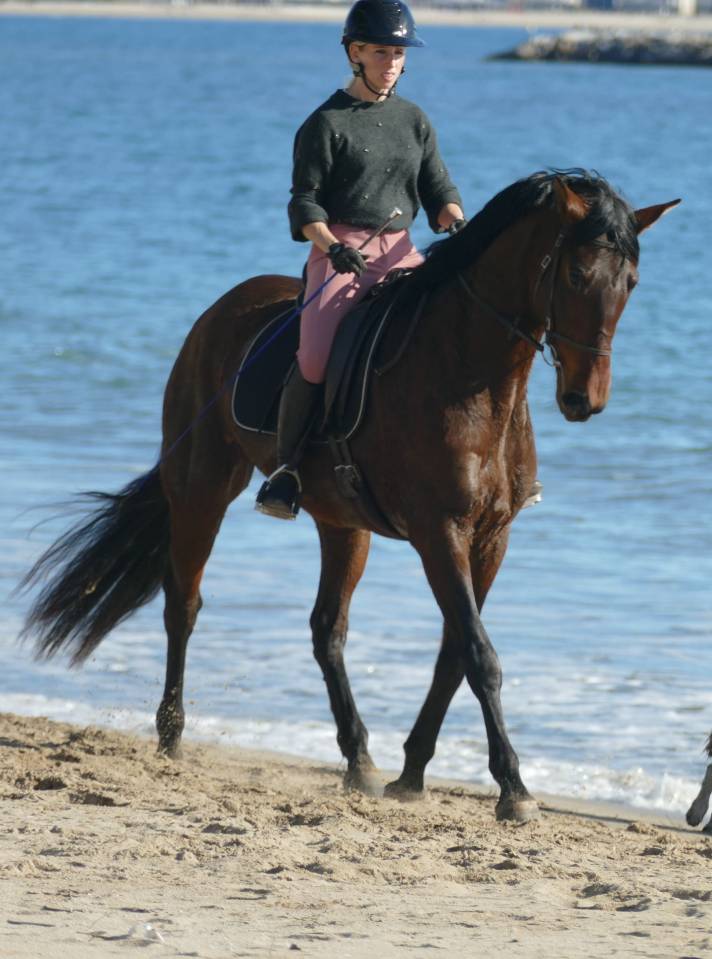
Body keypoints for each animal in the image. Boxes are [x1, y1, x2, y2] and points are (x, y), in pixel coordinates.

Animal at [19, 170, 678, 823]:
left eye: (631, 283)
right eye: (575, 274)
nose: (584, 400)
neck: (470, 373)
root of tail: (222, 308)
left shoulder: (492, 537)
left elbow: (453, 654)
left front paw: (412, 773)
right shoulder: (440, 533)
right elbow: (478, 653)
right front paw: (513, 787)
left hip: (342, 523)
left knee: (326, 629)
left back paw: (359, 760)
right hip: (203, 486)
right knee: (183, 604)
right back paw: (172, 734)